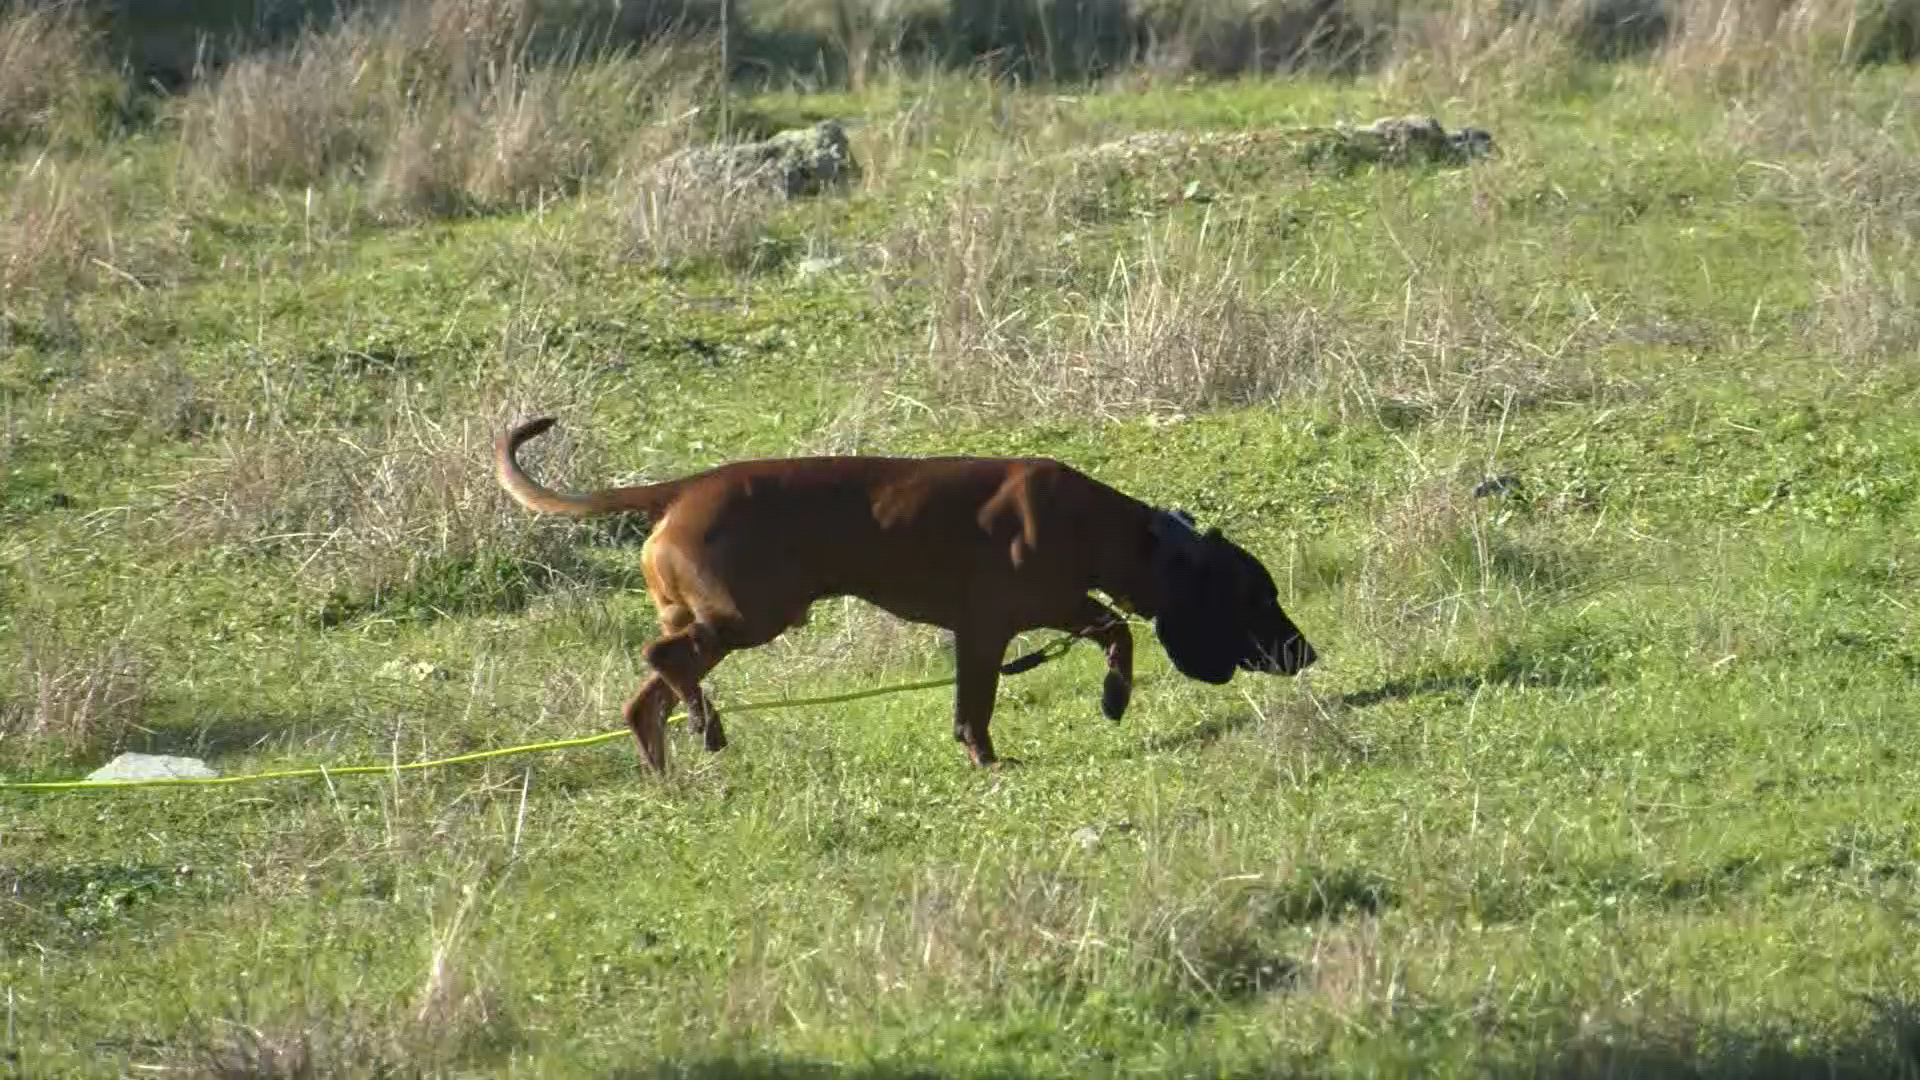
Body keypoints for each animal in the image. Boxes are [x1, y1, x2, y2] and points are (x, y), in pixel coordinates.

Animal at [495, 411, 1313, 764]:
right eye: (1259, 597)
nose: (1308, 654)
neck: (1110, 527)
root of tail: (682, 491)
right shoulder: (1000, 624)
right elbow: (1101, 637)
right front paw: (1101, 705)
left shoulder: (1019, 621)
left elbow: (1102, 634)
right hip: (749, 616)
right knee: (663, 661)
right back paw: (710, 729)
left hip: (719, 620)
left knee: (648, 697)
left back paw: (675, 758)